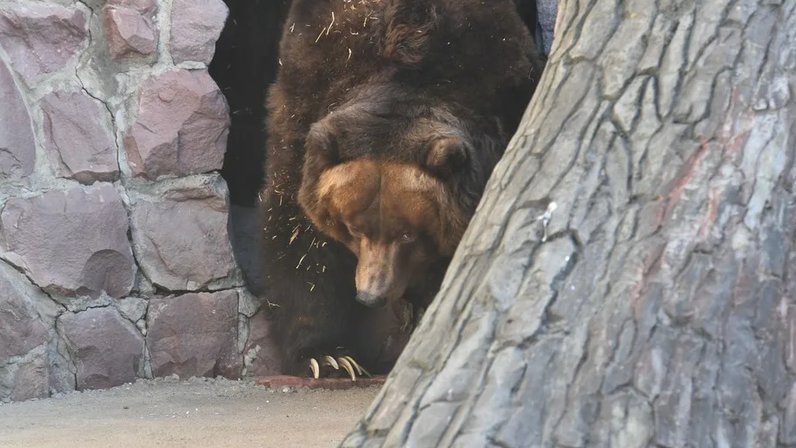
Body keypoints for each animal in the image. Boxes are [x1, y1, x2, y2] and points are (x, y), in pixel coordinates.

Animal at [259, 0, 545, 378]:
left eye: (409, 234)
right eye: (353, 227)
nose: (371, 295)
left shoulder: (502, 86)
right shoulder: (308, 86)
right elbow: (297, 232)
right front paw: (328, 356)